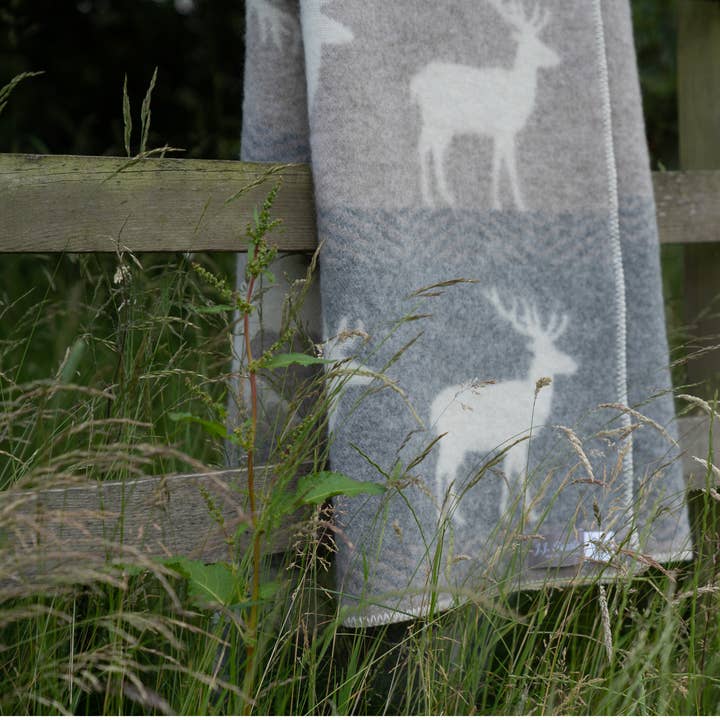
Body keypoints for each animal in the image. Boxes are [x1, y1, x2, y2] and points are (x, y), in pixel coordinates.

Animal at [410, 0, 560, 210]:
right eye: (535, 45)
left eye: (541, 40)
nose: (557, 58)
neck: (516, 92)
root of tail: (417, 82)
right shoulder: (504, 128)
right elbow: (506, 164)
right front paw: (511, 203)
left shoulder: (501, 132)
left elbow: (500, 162)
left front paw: (505, 202)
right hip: (433, 119)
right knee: (424, 146)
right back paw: (429, 199)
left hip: (444, 125)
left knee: (436, 149)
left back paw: (446, 197)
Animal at [430, 288, 577, 526]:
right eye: (551, 351)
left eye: (555, 347)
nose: (573, 364)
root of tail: (433, 409)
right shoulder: (516, 438)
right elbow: (519, 472)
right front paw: (518, 513)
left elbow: (516, 471)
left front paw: (521, 512)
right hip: (454, 441)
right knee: (444, 470)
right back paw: (449, 516)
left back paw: (451, 515)